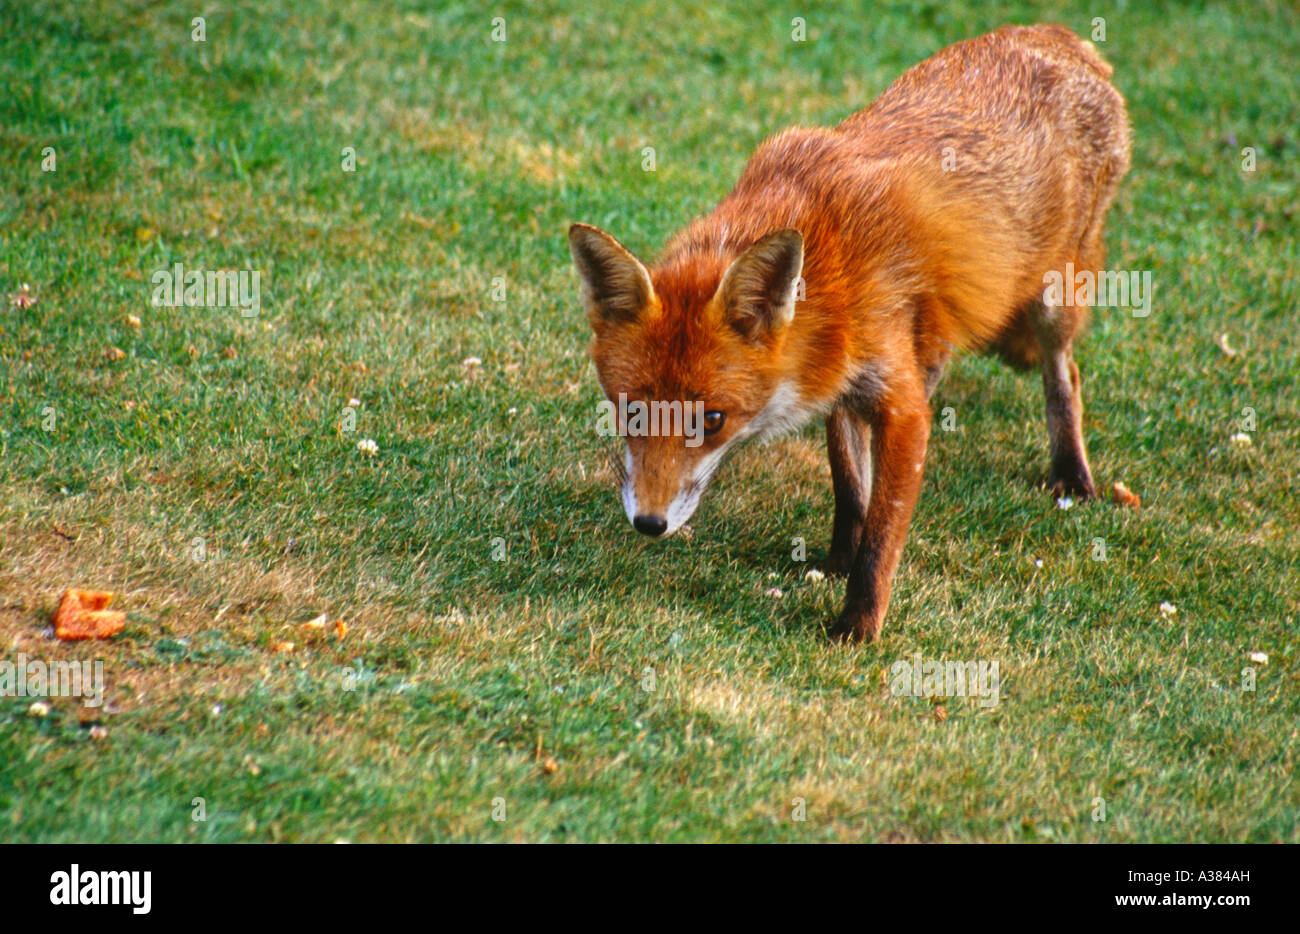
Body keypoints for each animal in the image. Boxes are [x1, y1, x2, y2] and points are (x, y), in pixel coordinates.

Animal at [569, 24, 1131, 642]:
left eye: (712, 420)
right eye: (630, 411)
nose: (648, 522)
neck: (830, 261)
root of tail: (1059, 36)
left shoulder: (898, 407)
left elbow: (883, 533)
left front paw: (857, 624)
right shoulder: (839, 379)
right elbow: (849, 486)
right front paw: (837, 560)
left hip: (1053, 298)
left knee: (1065, 374)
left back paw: (1071, 473)